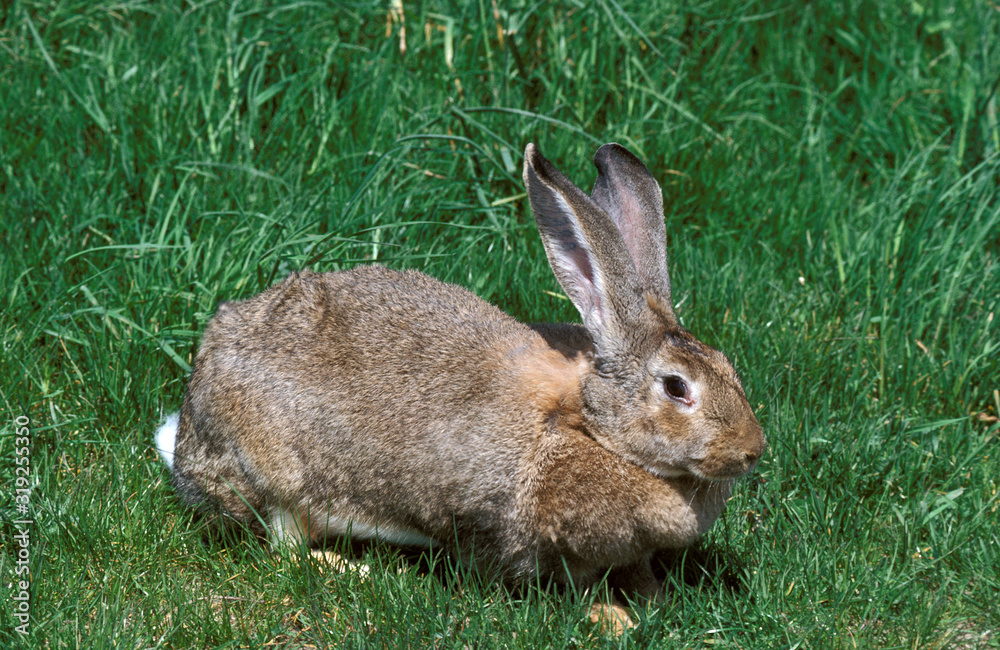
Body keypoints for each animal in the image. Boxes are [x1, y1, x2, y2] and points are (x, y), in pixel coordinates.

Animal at [155, 142, 765, 604]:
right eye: (676, 387)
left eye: (728, 367)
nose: (752, 451)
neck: (589, 424)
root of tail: (186, 439)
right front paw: (610, 617)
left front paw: (653, 601)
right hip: (275, 472)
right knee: (287, 545)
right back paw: (365, 570)